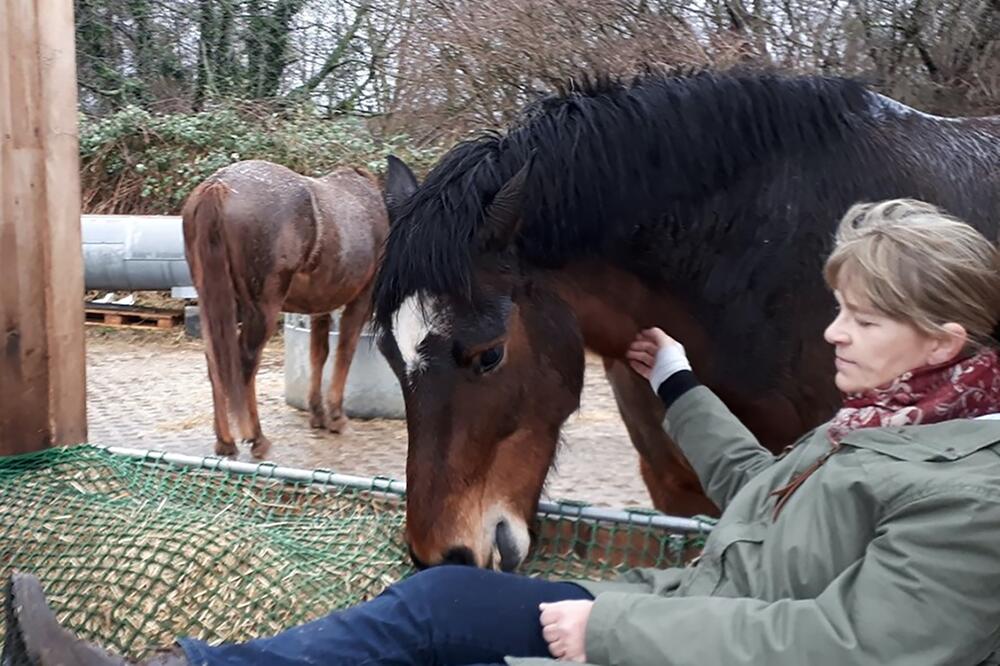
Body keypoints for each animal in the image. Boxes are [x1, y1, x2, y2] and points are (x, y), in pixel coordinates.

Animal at [182, 157, 408, 456]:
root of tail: (219, 187)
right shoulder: (359, 301)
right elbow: (344, 352)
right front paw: (336, 416)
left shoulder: (321, 307)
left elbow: (318, 354)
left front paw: (318, 414)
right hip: (261, 310)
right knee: (244, 364)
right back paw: (256, 437)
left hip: (216, 303)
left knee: (218, 363)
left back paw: (225, 441)